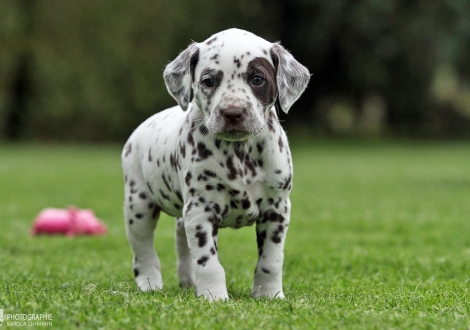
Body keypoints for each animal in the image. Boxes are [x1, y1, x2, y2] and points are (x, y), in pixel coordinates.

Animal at [123, 29, 310, 302]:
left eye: (257, 79)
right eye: (209, 81)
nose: (232, 112)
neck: (239, 154)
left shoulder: (277, 209)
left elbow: (271, 261)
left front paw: (269, 294)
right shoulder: (201, 210)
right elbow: (208, 262)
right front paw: (214, 297)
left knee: (181, 238)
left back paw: (188, 282)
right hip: (138, 205)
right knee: (143, 251)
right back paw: (150, 283)